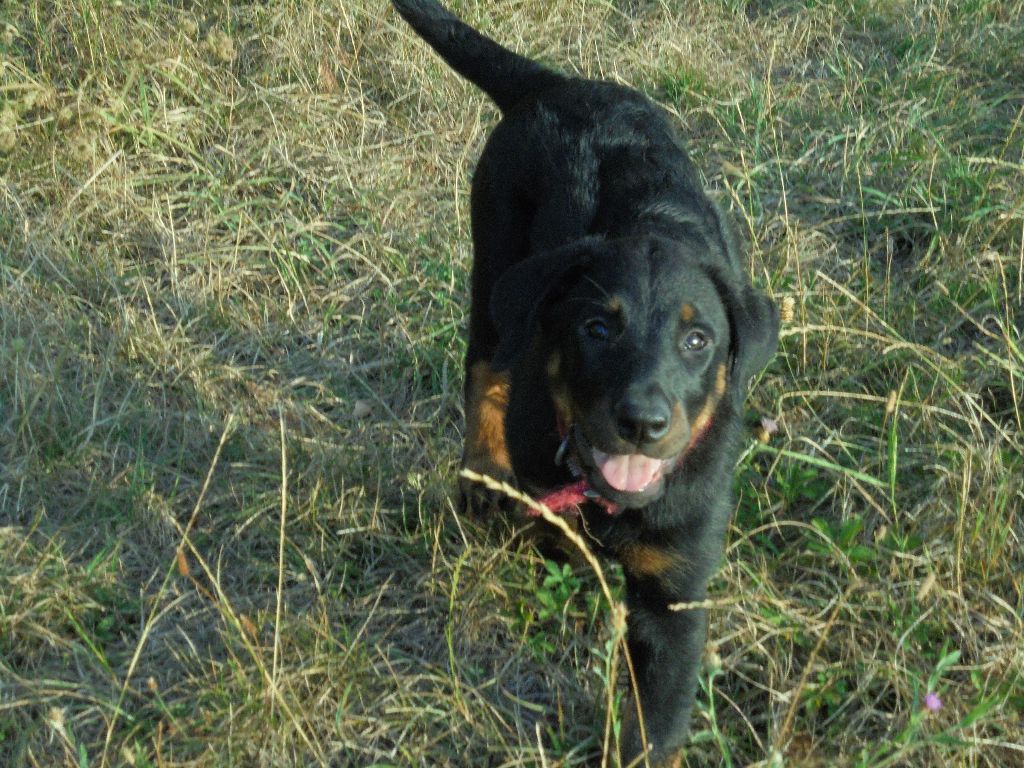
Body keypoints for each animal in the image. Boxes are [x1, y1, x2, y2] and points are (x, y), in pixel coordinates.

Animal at [391, 3, 774, 765]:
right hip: (496, 267)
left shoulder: (676, 590)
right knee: (485, 369)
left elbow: (656, 721)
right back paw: (482, 479)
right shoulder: (544, 455)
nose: (643, 423)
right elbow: (553, 518)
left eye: (697, 341)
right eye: (597, 329)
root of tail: (558, 83)